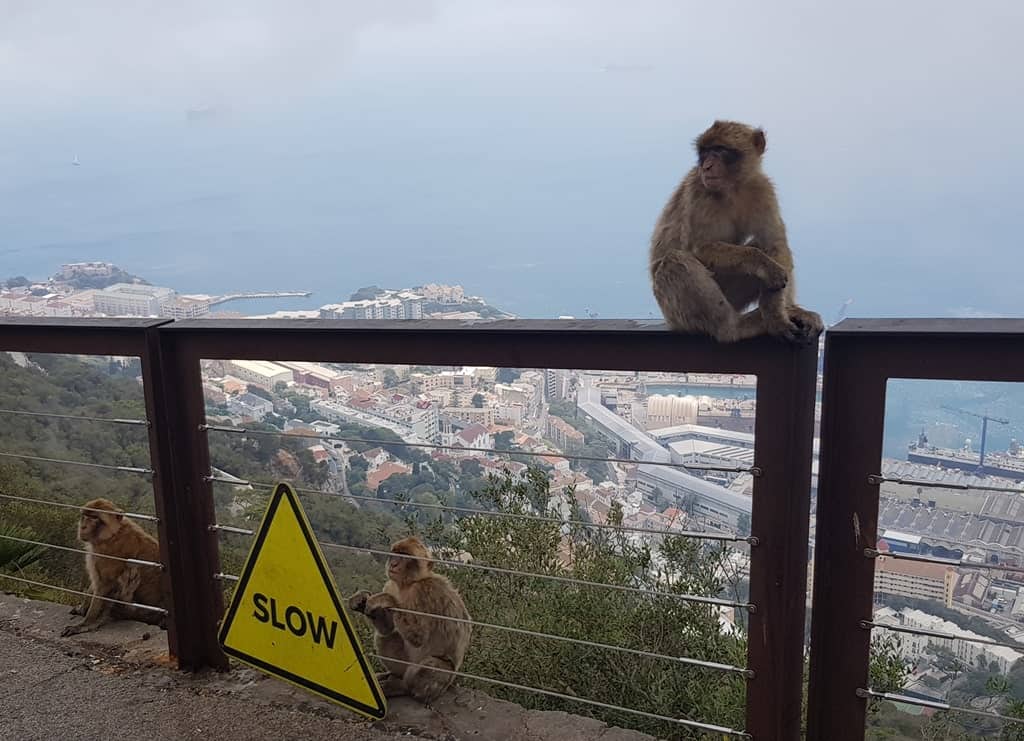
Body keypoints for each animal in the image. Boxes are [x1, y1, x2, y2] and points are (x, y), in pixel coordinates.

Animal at [60, 497, 166, 638]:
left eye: (94, 518)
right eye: (85, 515)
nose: (83, 526)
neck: (112, 535)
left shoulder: (108, 555)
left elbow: (104, 585)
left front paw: (86, 623)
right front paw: (82, 609)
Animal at [346, 540, 468, 700]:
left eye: (404, 556)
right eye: (395, 554)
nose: (393, 564)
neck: (407, 584)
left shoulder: (424, 593)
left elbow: (419, 637)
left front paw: (386, 600)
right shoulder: (390, 585)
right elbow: (387, 628)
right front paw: (360, 600)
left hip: (443, 680)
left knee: (432, 664)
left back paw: (402, 687)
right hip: (404, 664)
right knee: (385, 636)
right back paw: (392, 675)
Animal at [647, 119, 823, 343]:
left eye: (720, 150)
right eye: (705, 152)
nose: (706, 166)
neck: (733, 187)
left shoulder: (763, 189)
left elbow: (775, 244)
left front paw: (776, 315)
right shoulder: (699, 192)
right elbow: (701, 248)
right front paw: (764, 265)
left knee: (765, 245)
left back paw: (789, 309)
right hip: (676, 312)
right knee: (674, 260)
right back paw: (733, 327)